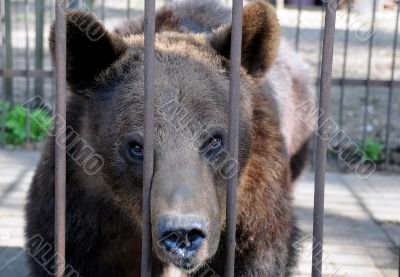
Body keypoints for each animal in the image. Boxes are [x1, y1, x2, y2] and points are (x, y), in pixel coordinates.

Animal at [25, 1, 314, 274]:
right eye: (137, 147)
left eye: (214, 140)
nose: (183, 233)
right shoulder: (83, 202)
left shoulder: (253, 193)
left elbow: (259, 254)